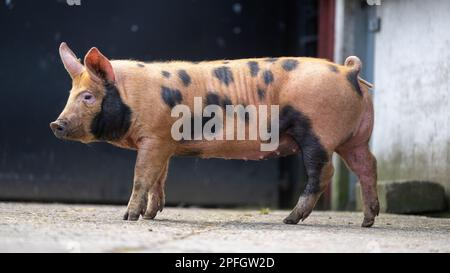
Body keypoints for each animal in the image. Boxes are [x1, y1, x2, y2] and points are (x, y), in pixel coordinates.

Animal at [51, 42, 378, 225]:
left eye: (88, 97)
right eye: (70, 93)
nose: (56, 124)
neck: (132, 97)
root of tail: (349, 72)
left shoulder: (154, 137)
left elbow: (142, 177)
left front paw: (129, 218)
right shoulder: (163, 143)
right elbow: (158, 179)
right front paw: (151, 214)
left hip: (318, 132)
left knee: (324, 173)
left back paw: (290, 220)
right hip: (356, 139)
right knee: (367, 166)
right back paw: (367, 221)